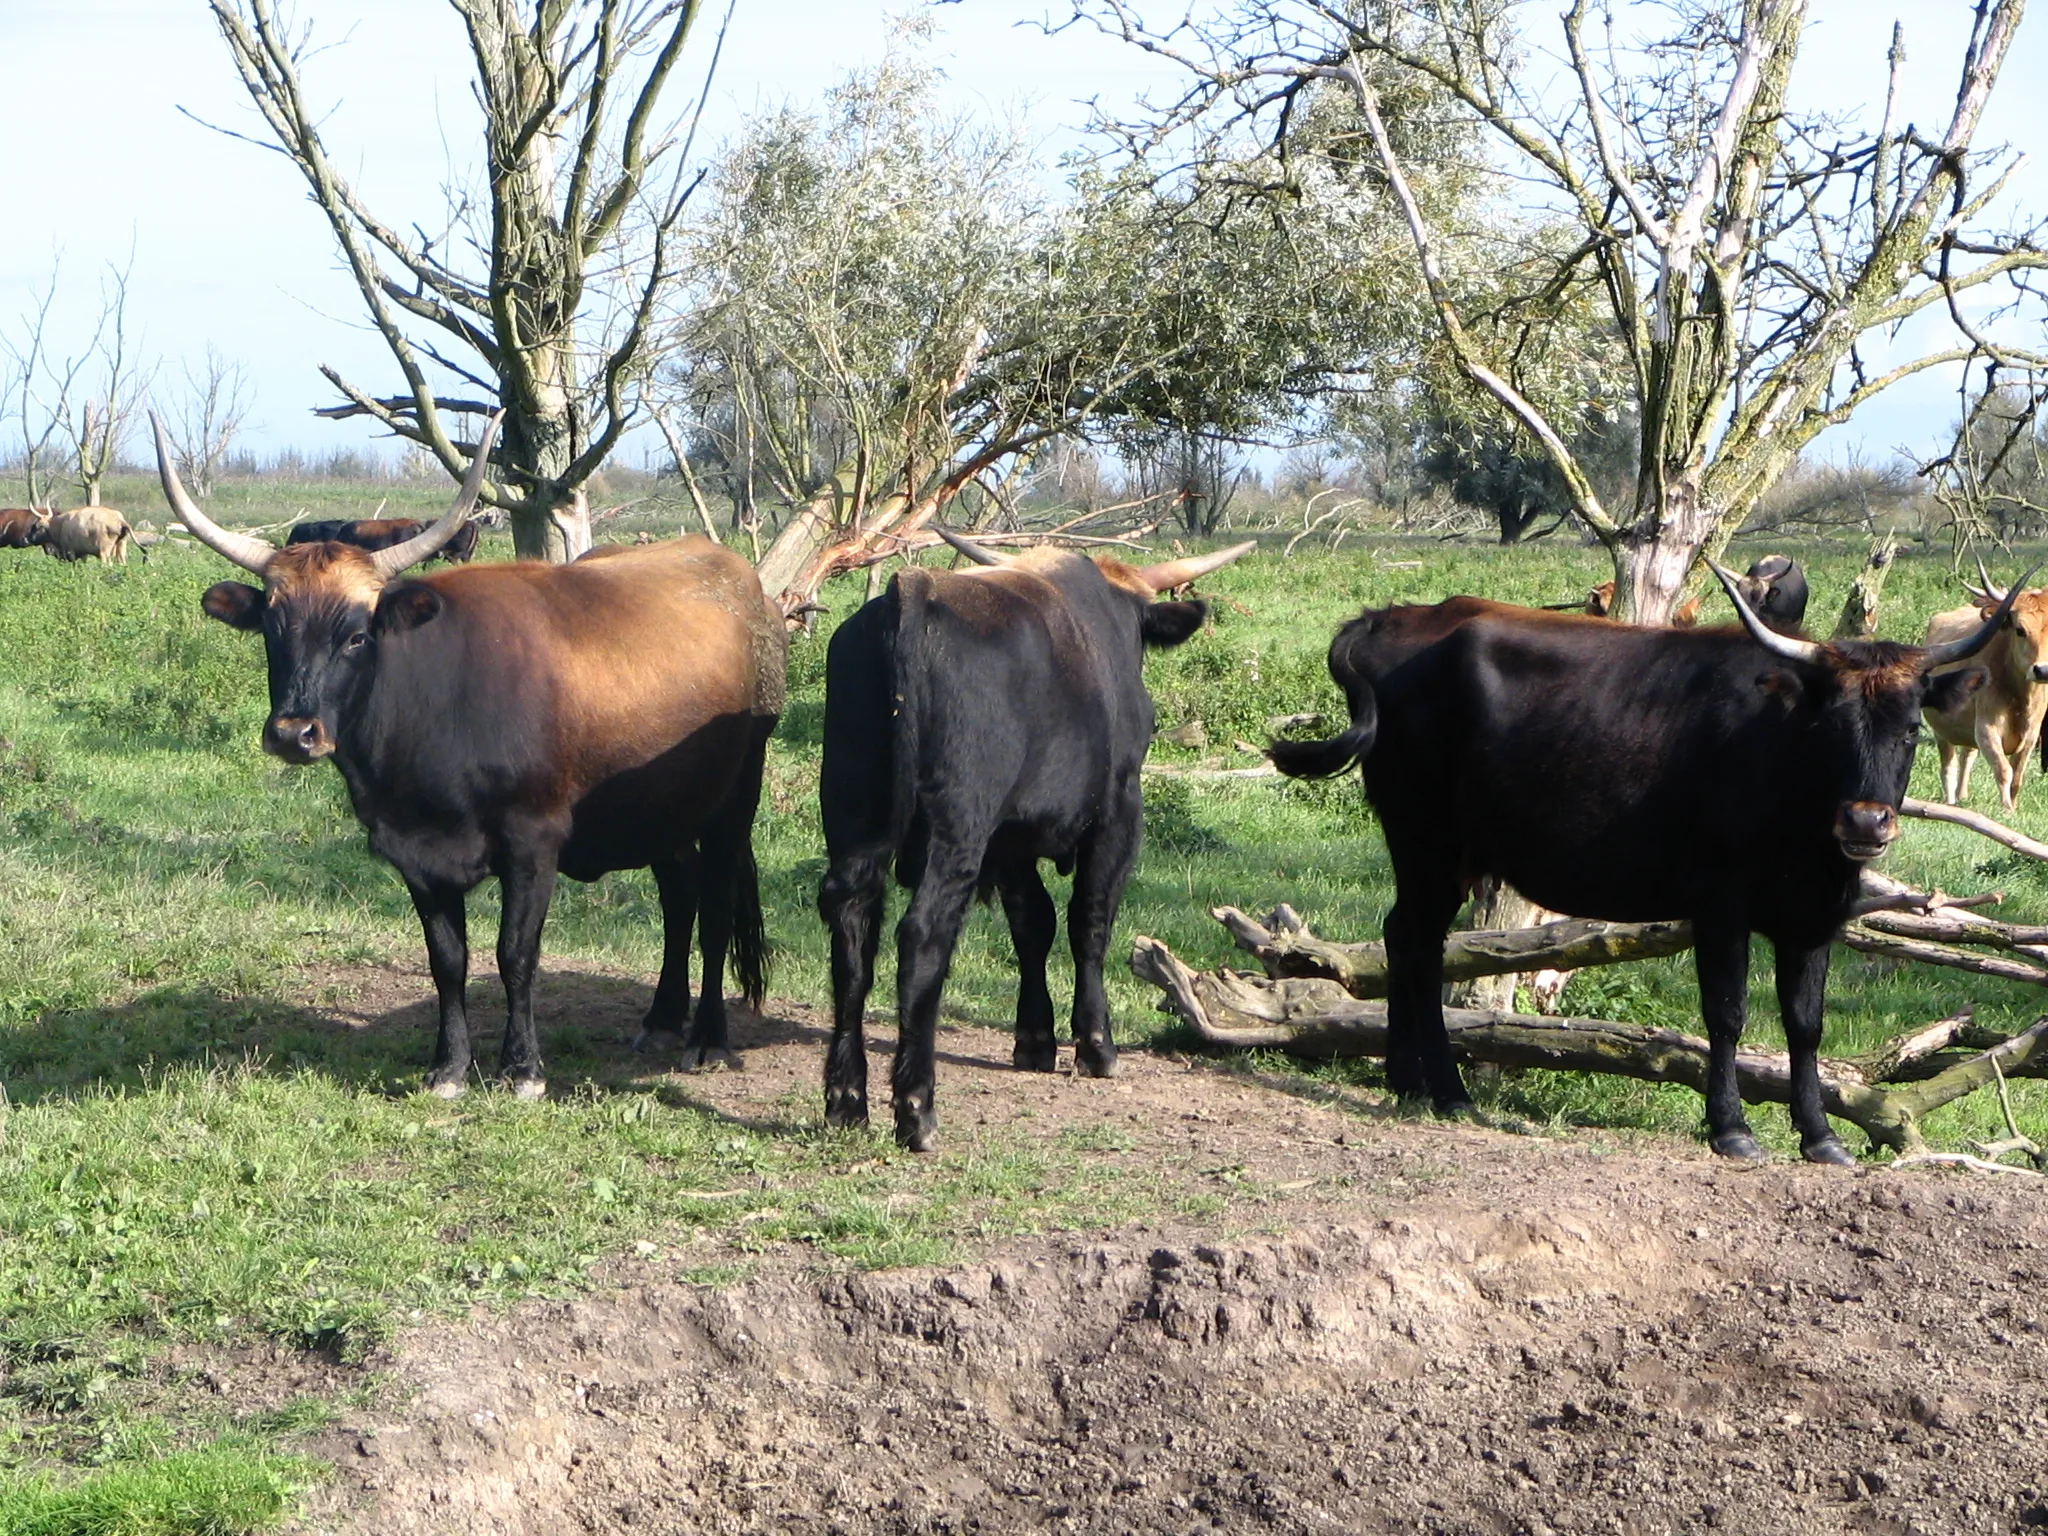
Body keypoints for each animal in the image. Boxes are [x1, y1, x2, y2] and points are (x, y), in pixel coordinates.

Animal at [153, 415, 782, 1097]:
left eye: (357, 635)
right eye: (272, 630)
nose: (294, 734)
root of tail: (741, 581)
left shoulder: (533, 844)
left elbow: (515, 954)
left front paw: (523, 1069)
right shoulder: (414, 853)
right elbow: (448, 960)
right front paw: (449, 1066)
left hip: (735, 797)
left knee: (715, 905)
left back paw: (708, 1039)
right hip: (661, 809)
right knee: (679, 895)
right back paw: (662, 1020)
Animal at [815, 536, 1245, 1146]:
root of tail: (914, 588)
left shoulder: (1010, 840)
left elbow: (1032, 925)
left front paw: (1036, 1040)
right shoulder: (1119, 812)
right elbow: (1089, 922)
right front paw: (1096, 1045)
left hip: (855, 819)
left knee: (852, 937)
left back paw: (846, 1099)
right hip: (958, 825)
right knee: (923, 936)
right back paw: (916, 1109)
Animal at [1261, 573, 2015, 1163]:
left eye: (1910, 728)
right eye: (1830, 723)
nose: (1864, 823)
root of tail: (1394, 617)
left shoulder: (1814, 915)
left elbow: (1805, 1025)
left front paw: (1820, 1136)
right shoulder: (1720, 905)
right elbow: (1728, 1015)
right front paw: (1732, 1130)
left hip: (1442, 855)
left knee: (1407, 939)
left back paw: (1409, 1081)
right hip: (1427, 842)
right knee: (1414, 942)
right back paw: (1444, 1090)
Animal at [1916, 561, 2048, 811]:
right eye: (2020, 630)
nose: (2042, 670)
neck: (2020, 699)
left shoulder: (2032, 734)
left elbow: (2017, 777)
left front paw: (2013, 807)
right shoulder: (1987, 728)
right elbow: (2004, 771)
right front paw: (2006, 810)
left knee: (1966, 756)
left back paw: (1962, 796)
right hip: (1941, 731)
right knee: (1948, 767)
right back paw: (1950, 801)